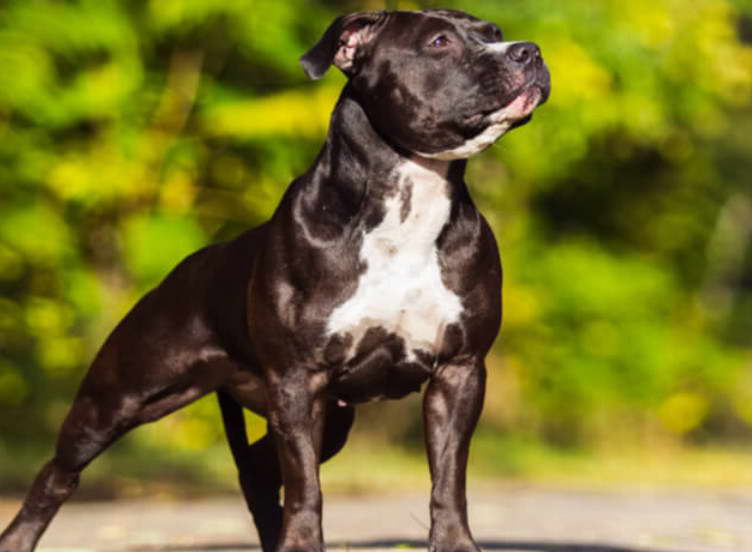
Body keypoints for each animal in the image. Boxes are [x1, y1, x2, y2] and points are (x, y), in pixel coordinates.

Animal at [1, 8, 552, 552]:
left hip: (328, 418)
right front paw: (303, 544)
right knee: (59, 473)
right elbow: (306, 482)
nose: (529, 50)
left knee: (261, 472)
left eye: (494, 33)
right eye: (439, 42)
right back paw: (20, 535)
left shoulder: (459, 371)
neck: (409, 204)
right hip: (118, 397)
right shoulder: (297, 380)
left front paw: (455, 542)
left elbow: (448, 475)